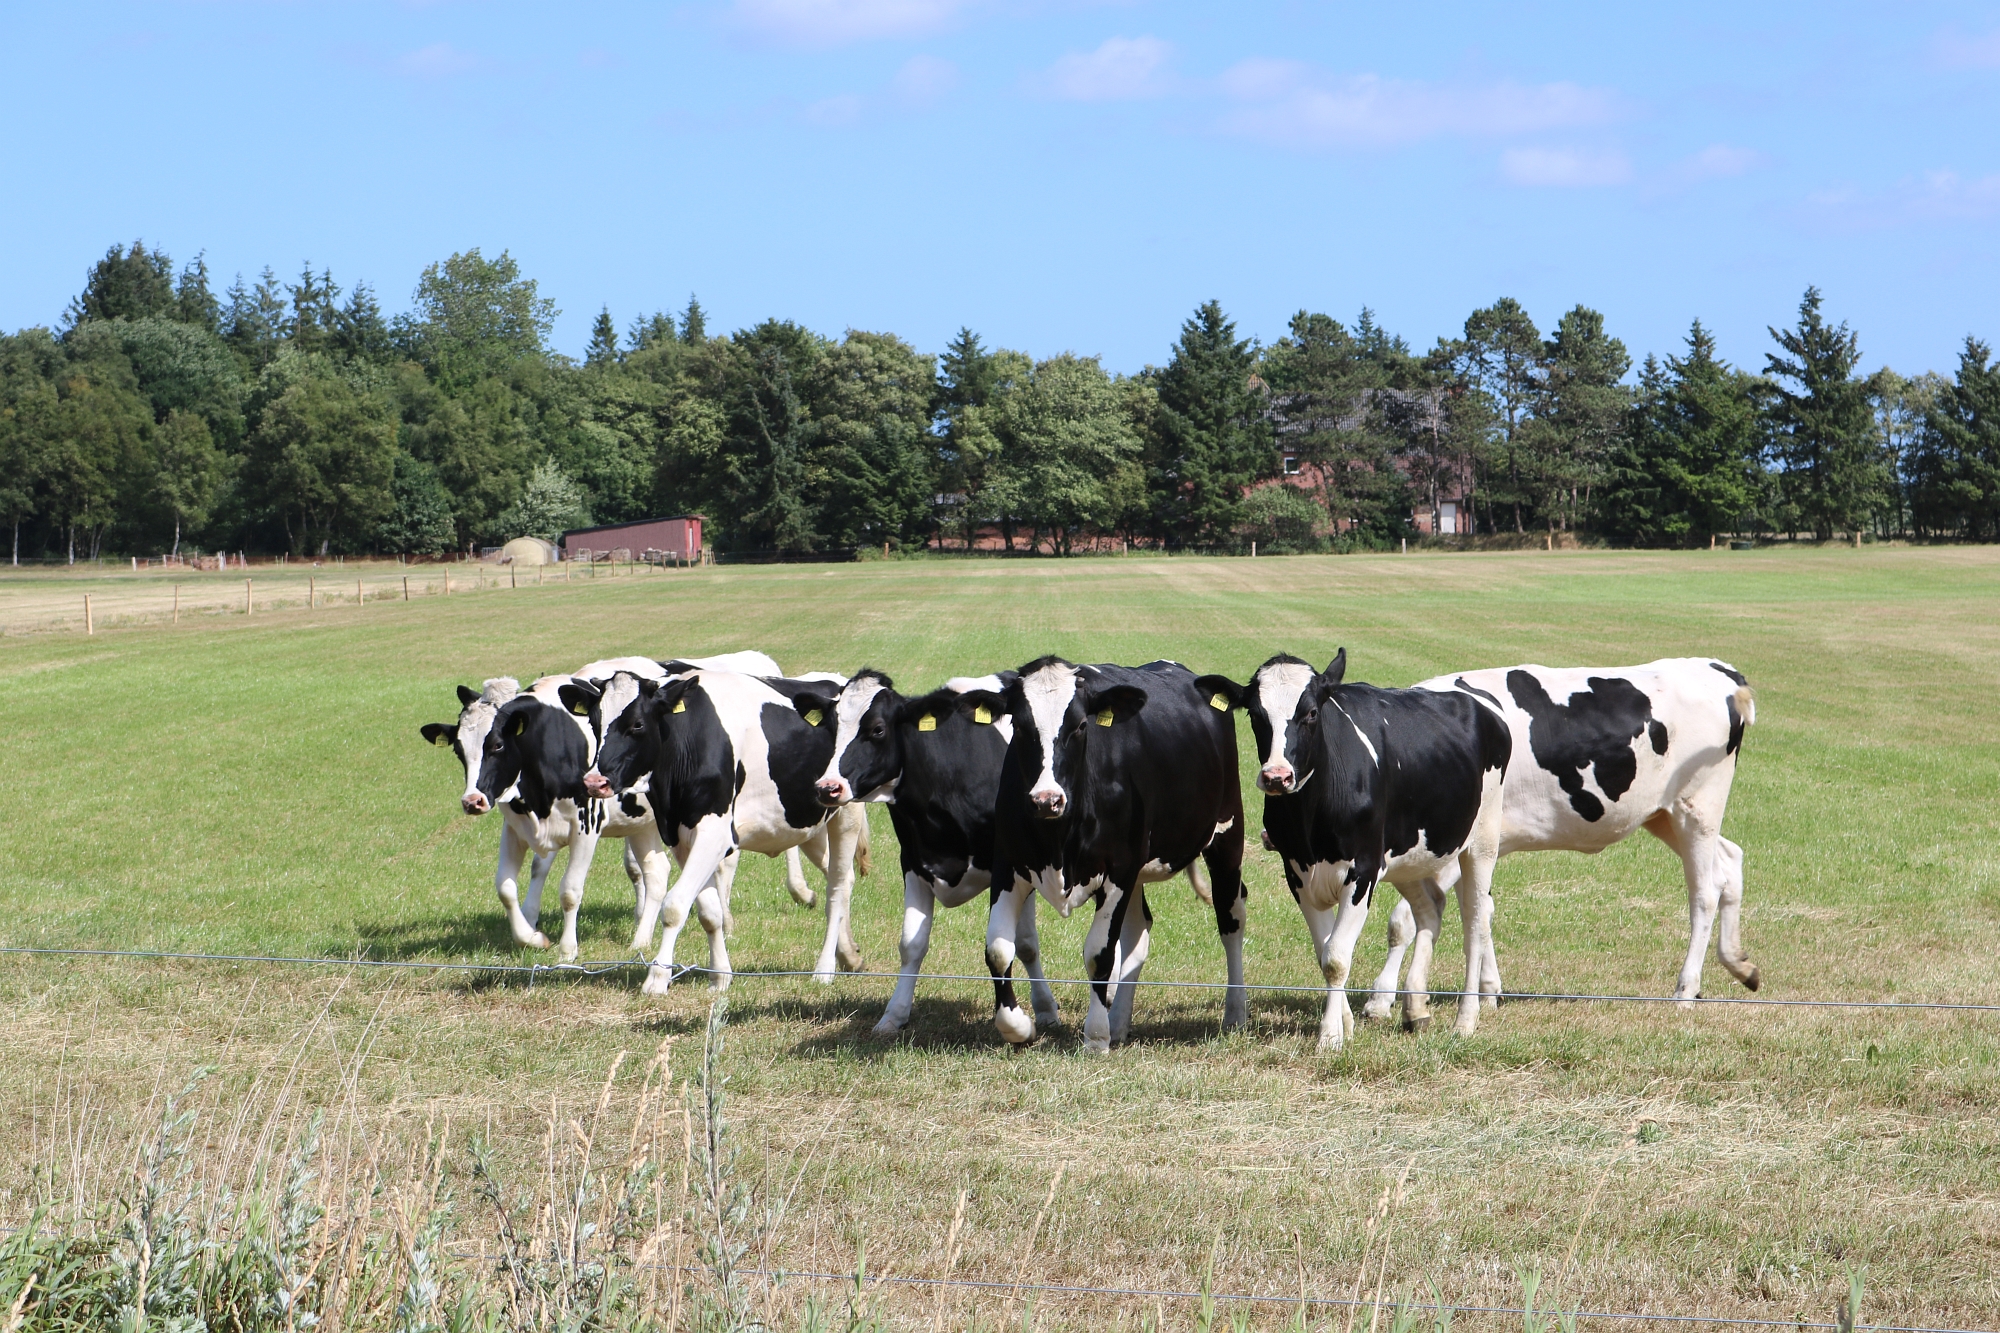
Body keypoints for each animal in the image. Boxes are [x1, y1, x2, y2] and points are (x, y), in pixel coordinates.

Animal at [572, 664, 868, 984]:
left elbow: (675, 905)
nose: (594, 782)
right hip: (808, 823)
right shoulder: (680, 836)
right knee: (842, 877)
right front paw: (721, 976)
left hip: (846, 815)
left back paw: (824, 970)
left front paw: (657, 979)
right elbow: (708, 911)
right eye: (594, 722)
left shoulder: (714, 834)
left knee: (837, 888)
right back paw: (849, 954)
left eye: (637, 724)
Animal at [956, 652, 1248, 1048]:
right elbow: (998, 950)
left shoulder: (1119, 870)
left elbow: (1099, 954)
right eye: (1018, 724)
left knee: (1231, 918)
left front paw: (1095, 1036)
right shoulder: (1009, 863)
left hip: (1226, 833)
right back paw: (1119, 1022)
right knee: (1139, 932)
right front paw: (1019, 1027)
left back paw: (1235, 1014)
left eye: (1081, 725)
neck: (1059, 840)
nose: (1046, 800)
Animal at [1200, 648, 1512, 1040]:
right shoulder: (1297, 872)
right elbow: (1324, 951)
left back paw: (1466, 1019)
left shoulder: (1363, 870)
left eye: (1311, 713)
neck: (1311, 817)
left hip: (1481, 841)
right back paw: (1415, 1008)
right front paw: (1344, 1023)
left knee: (1476, 922)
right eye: (1255, 715)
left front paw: (1330, 1035)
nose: (1277, 776)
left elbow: (1335, 957)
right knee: (1429, 910)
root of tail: (1480, 703)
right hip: (1407, 855)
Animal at [1352, 652, 1760, 1008]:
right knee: (1729, 861)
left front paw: (1381, 998)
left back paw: (1685, 990)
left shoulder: (1457, 847)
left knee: (1704, 892)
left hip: (1698, 806)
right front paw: (1488, 990)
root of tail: (1718, 668)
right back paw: (1741, 965)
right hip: (1664, 814)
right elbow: (1480, 909)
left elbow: (1408, 919)